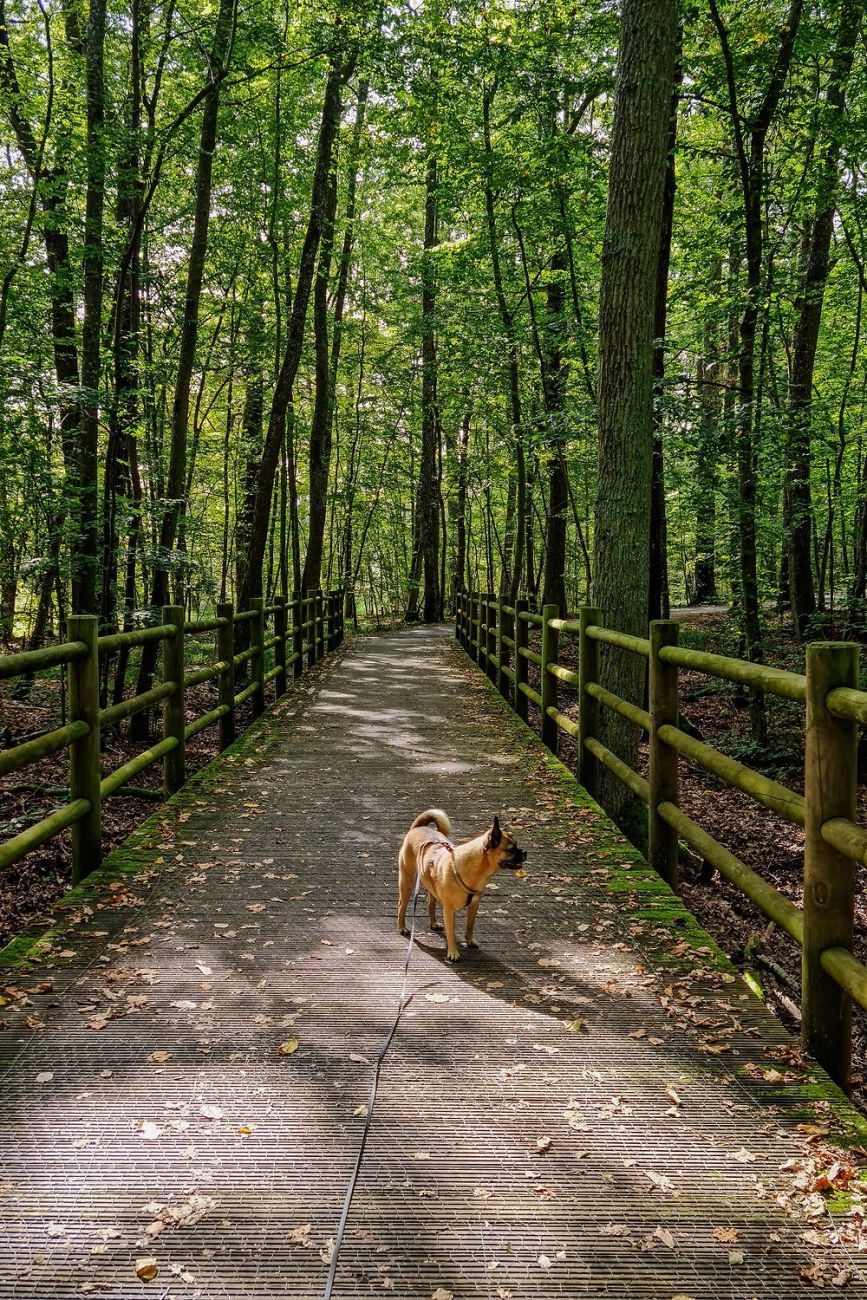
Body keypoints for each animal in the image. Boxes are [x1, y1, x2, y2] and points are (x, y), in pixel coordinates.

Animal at [397, 806, 525, 961]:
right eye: (511, 849)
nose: (525, 852)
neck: (477, 869)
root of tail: (418, 827)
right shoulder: (449, 911)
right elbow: (451, 933)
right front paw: (453, 952)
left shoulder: (474, 905)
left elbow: (469, 925)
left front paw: (470, 940)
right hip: (407, 881)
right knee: (402, 905)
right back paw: (402, 927)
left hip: (430, 882)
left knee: (430, 902)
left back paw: (433, 923)